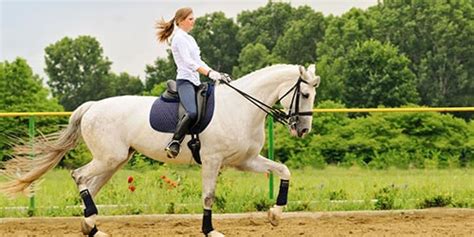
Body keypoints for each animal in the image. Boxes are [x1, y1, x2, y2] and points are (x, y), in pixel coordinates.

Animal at [0, 64, 320, 236]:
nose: (303, 130)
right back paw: (90, 221)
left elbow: (283, 170)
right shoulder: (213, 160)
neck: (241, 107)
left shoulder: (246, 160)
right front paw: (210, 229)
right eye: (304, 94)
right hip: (109, 157)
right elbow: (208, 195)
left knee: (91, 184)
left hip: (113, 161)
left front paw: (275, 214)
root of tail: (91, 107)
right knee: (79, 176)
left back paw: (91, 226)